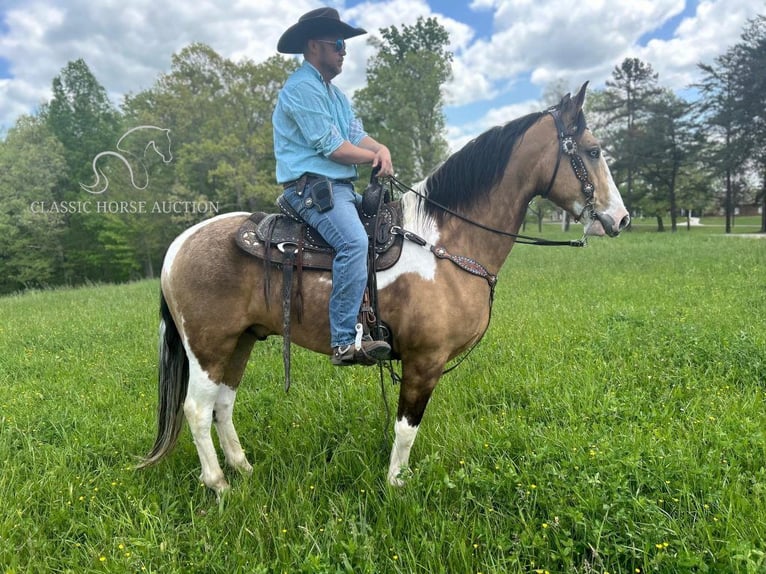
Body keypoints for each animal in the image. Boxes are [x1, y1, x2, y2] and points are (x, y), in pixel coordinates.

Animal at [138, 83, 632, 498]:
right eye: (593, 150)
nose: (621, 218)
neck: (443, 243)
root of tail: (177, 247)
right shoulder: (423, 361)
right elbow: (406, 428)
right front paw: (396, 485)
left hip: (238, 343)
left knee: (223, 405)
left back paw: (244, 470)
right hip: (209, 347)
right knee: (197, 410)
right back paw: (219, 485)